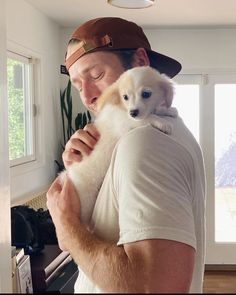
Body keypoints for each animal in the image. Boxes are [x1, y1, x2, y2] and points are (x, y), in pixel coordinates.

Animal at [59, 66, 177, 225]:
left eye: (146, 94)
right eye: (125, 97)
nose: (133, 112)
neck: (121, 108)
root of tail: (69, 174)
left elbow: (153, 111)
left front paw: (168, 110)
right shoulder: (126, 122)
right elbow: (147, 118)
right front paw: (162, 122)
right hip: (85, 200)